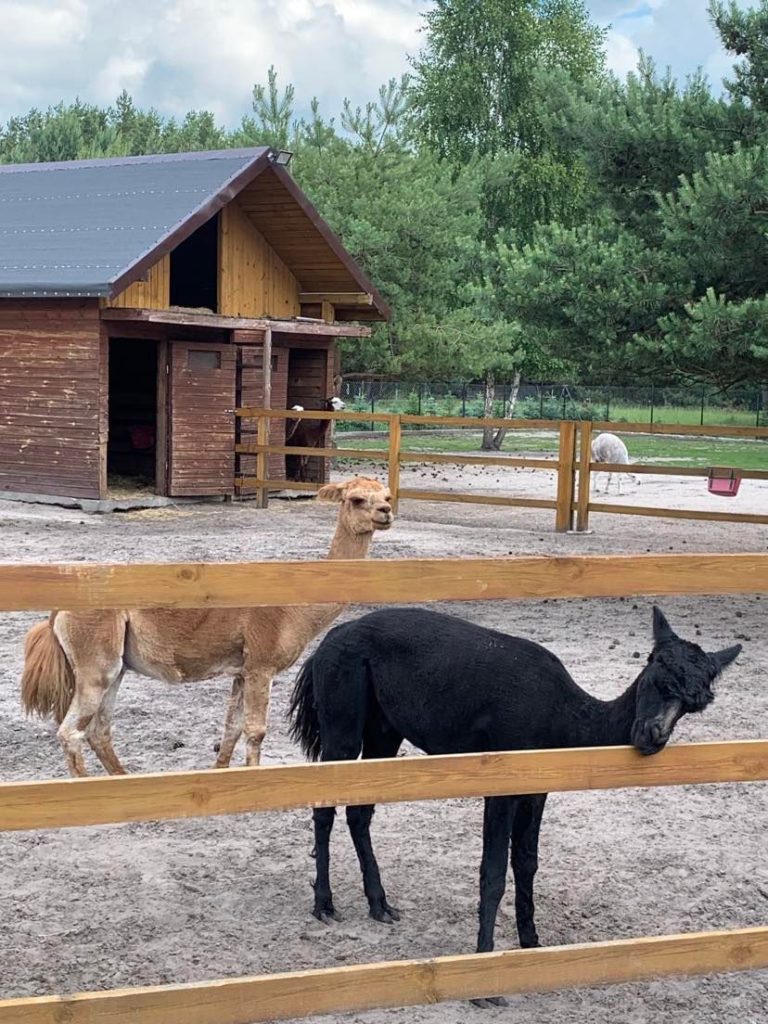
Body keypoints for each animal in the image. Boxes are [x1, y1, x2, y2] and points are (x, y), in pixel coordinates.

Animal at [289, 605, 740, 1006]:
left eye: (696, 702)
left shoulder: (535, 789)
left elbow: (526, 863)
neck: (561, 716)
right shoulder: (501, 784)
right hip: (342, 712)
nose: (651, 735)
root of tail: (329, 638)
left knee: (359, 810)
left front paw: (531, 944)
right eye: (657, 675)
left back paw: (379, 903)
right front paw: (484, 982)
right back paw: (324, 903)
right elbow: (492, 874)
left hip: (384, 728)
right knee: (324, 805)